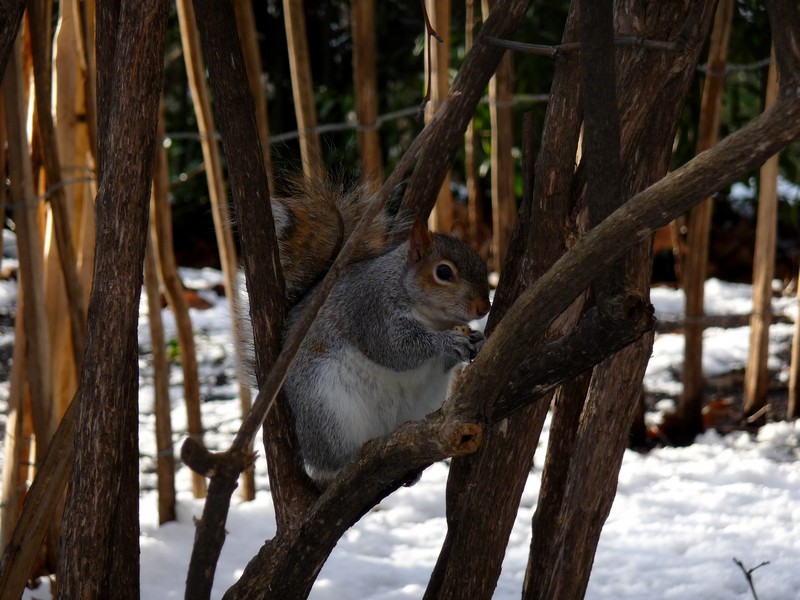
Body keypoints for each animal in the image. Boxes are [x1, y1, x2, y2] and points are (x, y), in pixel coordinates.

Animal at [252, 177, 488, 482]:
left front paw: (478, 339)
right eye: (444, 272)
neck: (431, 318)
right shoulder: (371, 309)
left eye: (481, 263)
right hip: (328, 410)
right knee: (334, 461)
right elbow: (396, 349)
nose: (484, 307)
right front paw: (447, 342)